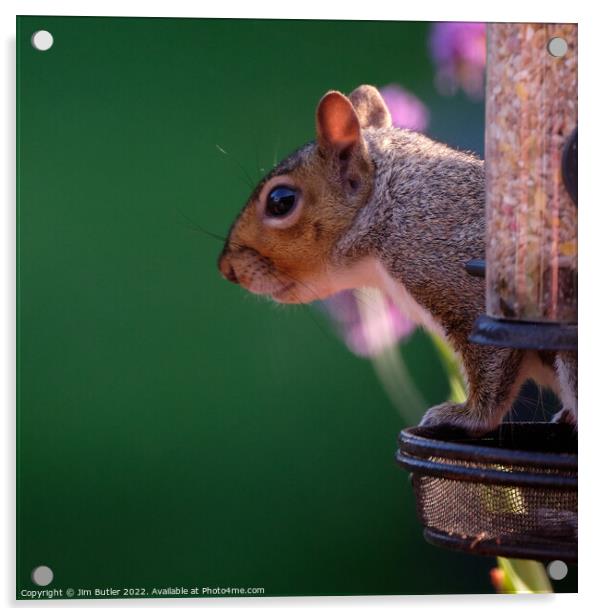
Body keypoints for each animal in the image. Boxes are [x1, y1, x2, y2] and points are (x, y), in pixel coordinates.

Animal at [217, 85, 576, 434]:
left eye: (281, 201)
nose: (226, 268)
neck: (389, 209)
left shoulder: (457, 280)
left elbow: (493, 368)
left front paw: (464, 416)